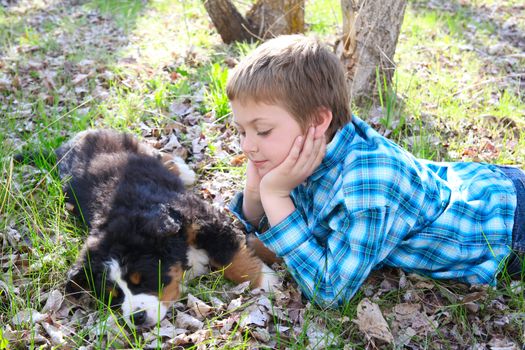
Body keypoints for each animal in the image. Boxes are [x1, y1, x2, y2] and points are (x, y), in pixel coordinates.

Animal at [55, 129, 278, 328]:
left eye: (143, 280)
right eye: (114, 295)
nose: (137, 318)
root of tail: (73, 141)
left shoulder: (201, 220)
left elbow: (232, 257)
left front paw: (265, 281)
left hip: (132, 146)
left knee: (156, 153)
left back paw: (181, 168)